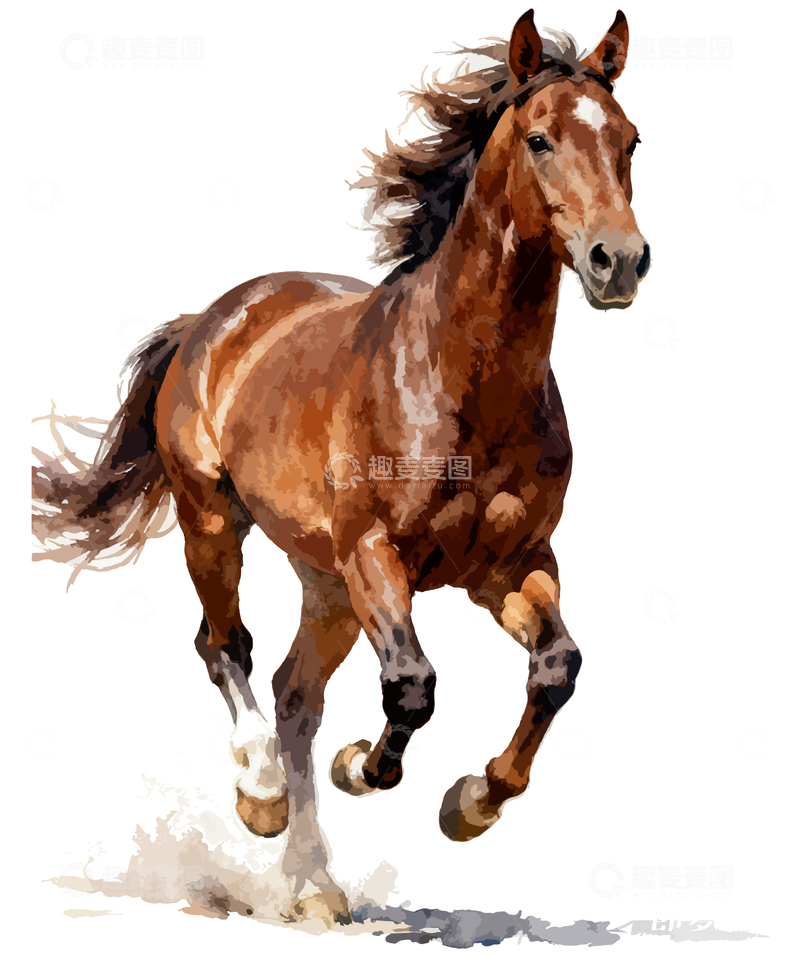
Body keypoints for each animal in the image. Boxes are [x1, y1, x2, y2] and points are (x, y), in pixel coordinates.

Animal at [32, 9, 650, 928]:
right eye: (540, 138)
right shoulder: (375, 555)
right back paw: (260, 799)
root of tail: (213, 319)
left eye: (630, 139)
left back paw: (314, 886)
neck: (459, 379)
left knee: (296, 692)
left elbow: (557, 669)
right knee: (227, 646)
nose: (621, 260)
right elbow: (412, 685)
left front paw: (470, 802)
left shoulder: (510, 566)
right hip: (215, 521)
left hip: (323, 581)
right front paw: (363, 766)